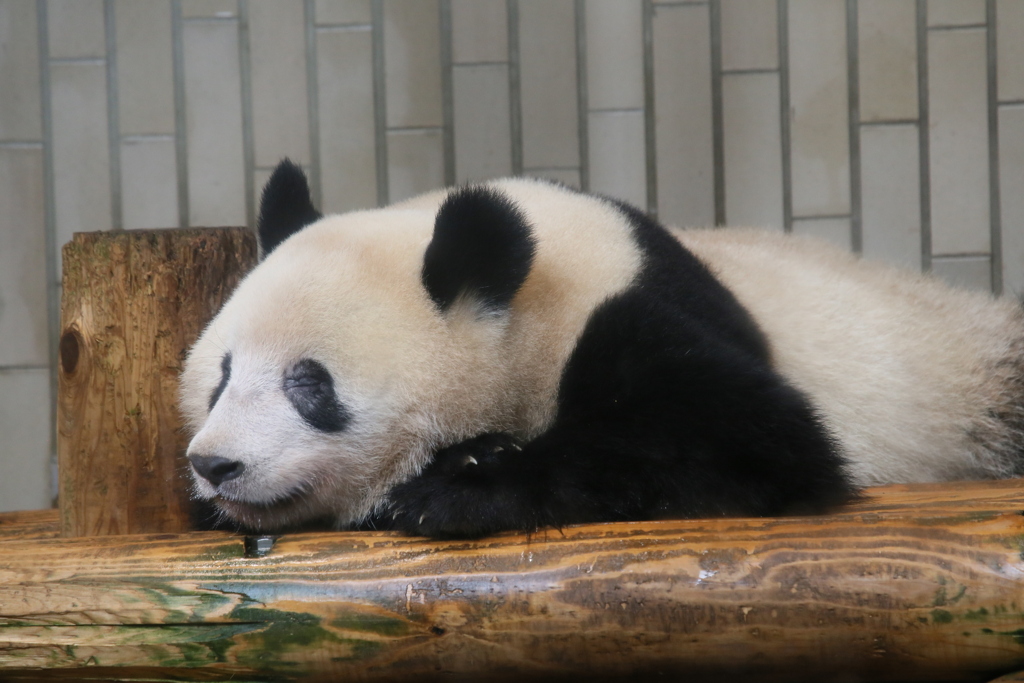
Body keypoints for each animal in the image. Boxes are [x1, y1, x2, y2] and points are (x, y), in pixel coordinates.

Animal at [178, 160, 1024, 540]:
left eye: (309, 384)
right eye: (221, 376)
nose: (215, 463)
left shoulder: (631, 315)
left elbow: (757, 444)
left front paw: (455, 481)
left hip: (968, 379)